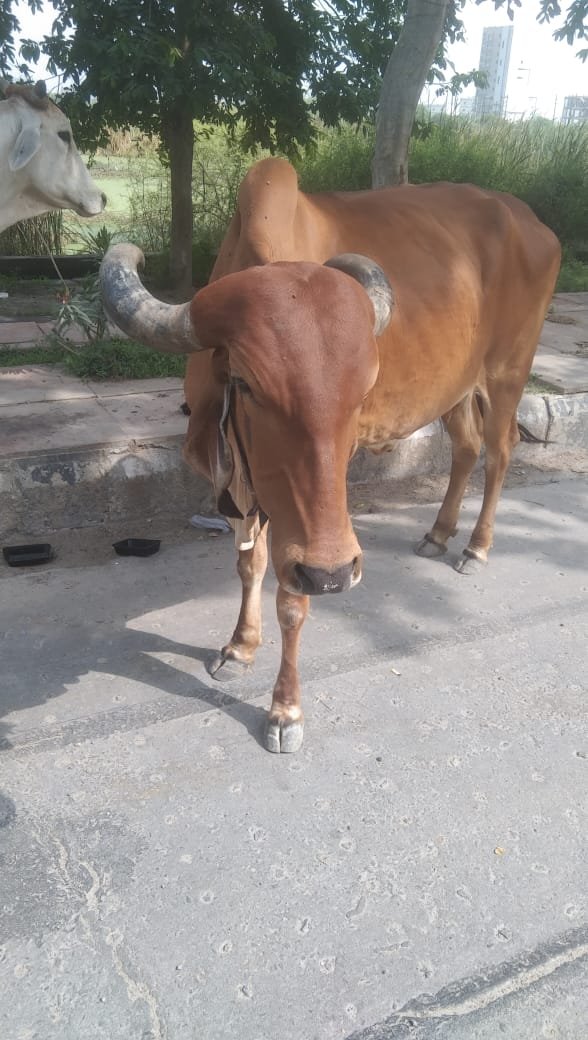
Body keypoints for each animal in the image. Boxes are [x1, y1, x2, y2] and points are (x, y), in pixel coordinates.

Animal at [100, 157, 561, 754]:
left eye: (363, 390)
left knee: (501, 450)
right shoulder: (253, 487)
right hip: (456, 388)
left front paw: (284, 711)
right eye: (246, 384)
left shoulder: (314, 537)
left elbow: (293, 599)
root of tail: (531, 222)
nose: (337, 574)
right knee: (466, 447)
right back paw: (438, 535)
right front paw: (239, 647)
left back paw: (475, 549)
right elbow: (250, 564)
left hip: (508, 371)